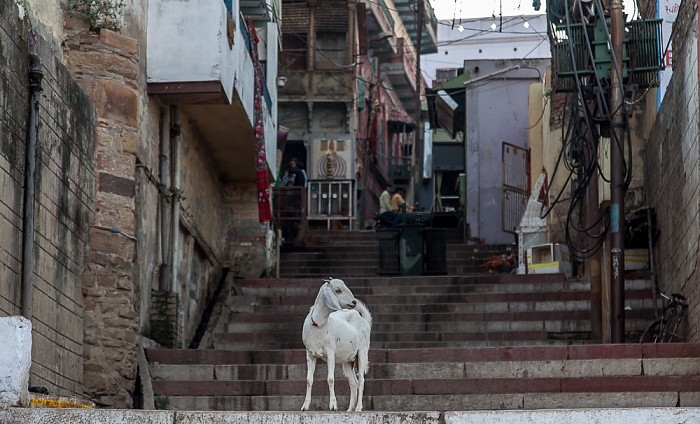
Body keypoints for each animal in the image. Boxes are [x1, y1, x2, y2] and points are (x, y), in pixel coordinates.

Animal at [301, 278, 372, 412]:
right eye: (338, 290)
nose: (354, 302)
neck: (318, 325)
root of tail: (364, 320)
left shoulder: (330, 352)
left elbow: (330, 379)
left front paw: (333, 406)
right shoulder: (310, 354)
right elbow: (309, 380)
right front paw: (305, 406)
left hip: (362, 352)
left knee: (361, 379)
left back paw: (358, 408)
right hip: (348, 360)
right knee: (353, 382)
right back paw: (350, 409)